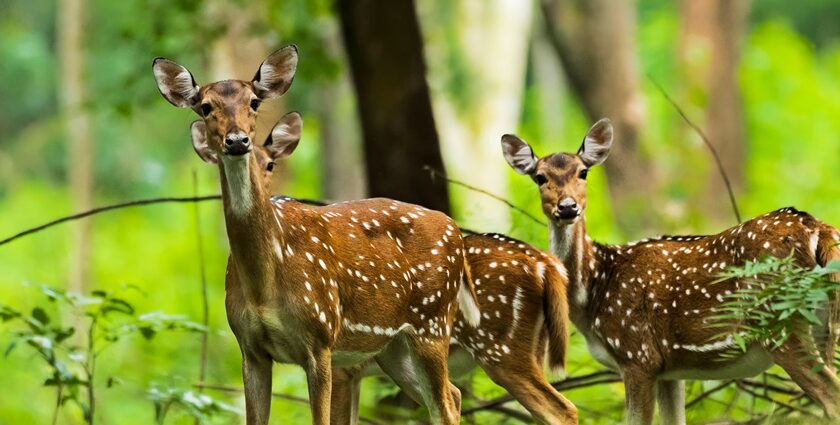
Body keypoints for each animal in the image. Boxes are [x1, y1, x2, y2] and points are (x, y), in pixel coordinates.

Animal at [153, 46, 480, 424]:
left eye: (253, 101)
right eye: (205, 106)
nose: (237, 141)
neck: (264, 283)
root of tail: (454, 230)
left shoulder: (321, 339)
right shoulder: (250, 348)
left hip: (432, 323)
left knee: (446, 403)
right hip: (394, 348)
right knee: (452, 395)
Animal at [223, 118, 580, 424]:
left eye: (271, 164)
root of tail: (546, 264)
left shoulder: (338, 365)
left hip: (500, 349)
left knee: (560, 408)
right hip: (410, 355)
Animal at [502, 119, 836, 424]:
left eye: (583, 171)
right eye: (539, 177)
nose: (568, 207)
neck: (594, 290)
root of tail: (819, 229)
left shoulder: (638, 356)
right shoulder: (669, 370)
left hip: (782, 324)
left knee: (831, 397)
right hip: (825, 326)